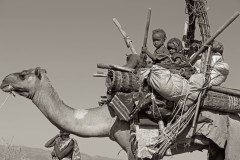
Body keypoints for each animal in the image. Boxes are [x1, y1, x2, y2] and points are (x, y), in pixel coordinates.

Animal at [1, 67, 240, 159]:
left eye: (23, 75)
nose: (4, 81)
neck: (109, 117)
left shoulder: (131, 142)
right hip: (217, 145)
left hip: (234, 137)